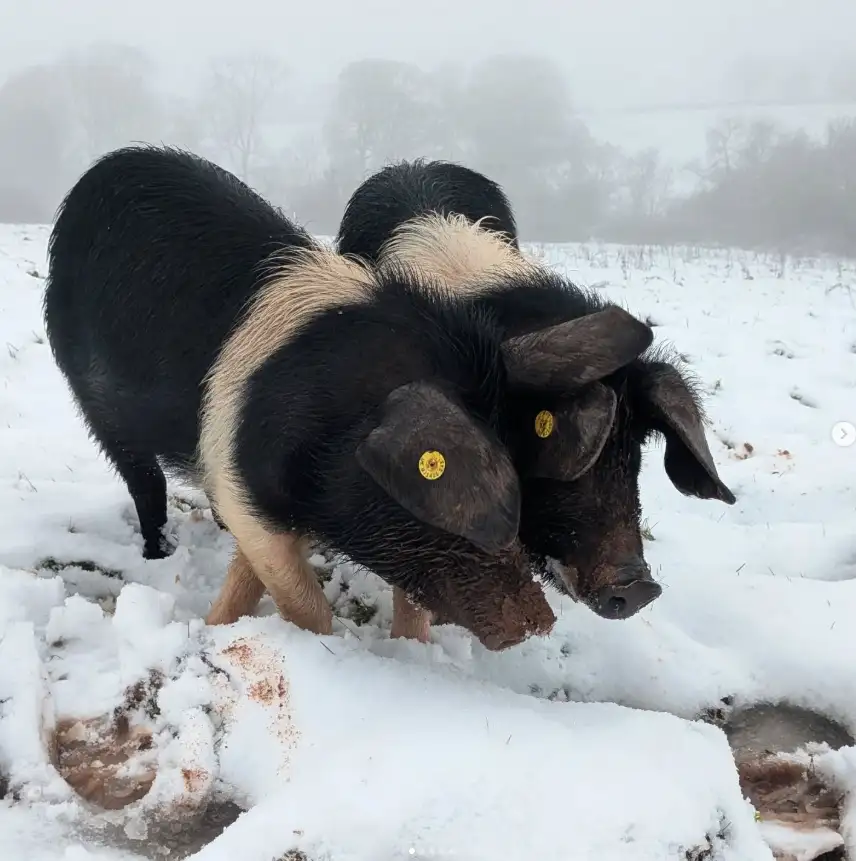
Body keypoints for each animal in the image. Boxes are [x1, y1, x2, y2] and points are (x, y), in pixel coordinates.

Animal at [43, 144, 567, 651]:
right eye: (461, 497)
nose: (540, 622)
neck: (330, 430)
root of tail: (107, 166)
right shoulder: (244, 485)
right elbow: (303, 602)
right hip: (92, 401)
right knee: (143, 480)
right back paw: (158, 553)